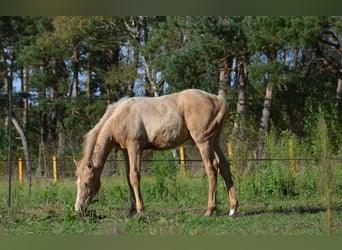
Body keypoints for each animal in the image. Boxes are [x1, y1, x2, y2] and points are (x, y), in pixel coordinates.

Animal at [75, 89, 239, 217]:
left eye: (87, 183)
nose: (78, 210)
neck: (120, 116)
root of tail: (217, 99)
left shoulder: (135, 147)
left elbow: (134, 176)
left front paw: (140, 209)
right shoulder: (126, 150)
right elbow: (128, 178)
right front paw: (131, 210)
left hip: (203, 142)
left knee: (211, 168)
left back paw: (210, 210)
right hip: (214, 141)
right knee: (224, 166)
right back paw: (232, 209)